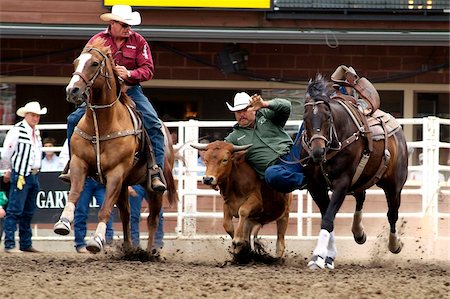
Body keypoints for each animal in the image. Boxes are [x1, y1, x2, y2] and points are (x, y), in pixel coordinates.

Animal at [53, 37, 177, 253]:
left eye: (94, 63)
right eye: (76, 63)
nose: (72, 90)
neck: (102, 124)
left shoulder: (116, 173)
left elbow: (105, 210)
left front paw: (96, 241)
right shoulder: (79, 163)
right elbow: (75, 194)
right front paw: (63, 222)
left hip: (153, 189)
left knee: (153, 219)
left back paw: (149, 252)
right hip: (125, 184)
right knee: (126, 215)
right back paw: (127, 248)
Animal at [298, 74, 408, 270]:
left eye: (328, 117)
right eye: (305, 117)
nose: (317, 151)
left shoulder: (342, 183)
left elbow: (328, 218)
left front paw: (318, 256)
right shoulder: (315, 186)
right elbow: (328, 217)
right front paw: (328, 256)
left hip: (394, 186)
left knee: (392, 215)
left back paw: (394, 244)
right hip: (361, 180)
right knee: (361, 198)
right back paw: (359, 233)